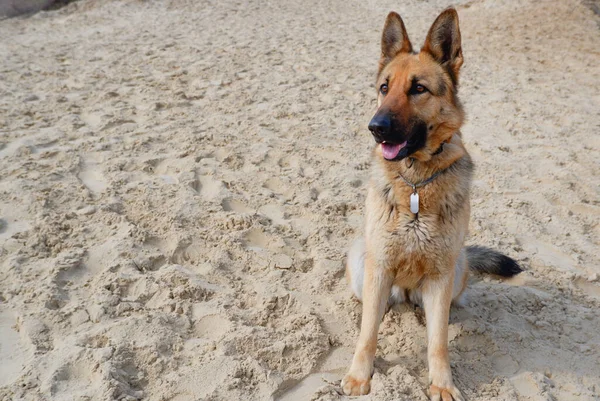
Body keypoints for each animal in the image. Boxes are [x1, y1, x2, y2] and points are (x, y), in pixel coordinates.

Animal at [342, 7, 520, 400]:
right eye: (384, 88)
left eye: (418, 89)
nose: (375, 128)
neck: (415, 184)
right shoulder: (380, 266)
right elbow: (367, 334)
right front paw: (360, 376)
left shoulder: (440, 277)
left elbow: (438, 342)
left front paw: (442, 383)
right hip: (363, 261)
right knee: (374, 308)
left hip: (456, 268)